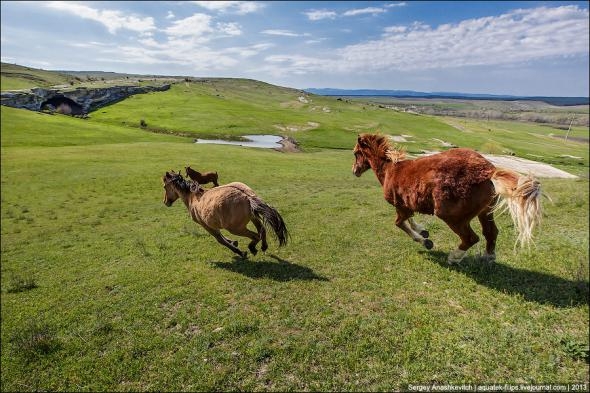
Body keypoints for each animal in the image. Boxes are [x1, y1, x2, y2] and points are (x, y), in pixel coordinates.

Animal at [354, 132, 544, 264]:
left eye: (356, 153)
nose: (354, 171)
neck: (390, 170)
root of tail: (488, 171)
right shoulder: (406, 205)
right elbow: (410, 219)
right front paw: (422, 230)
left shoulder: (400, 206)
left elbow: (400, 223)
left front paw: (424, 241)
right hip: (485, 212)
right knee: (491, 233)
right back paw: (488, 257)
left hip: (451, 216)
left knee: (471, 238)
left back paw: (454, 257)